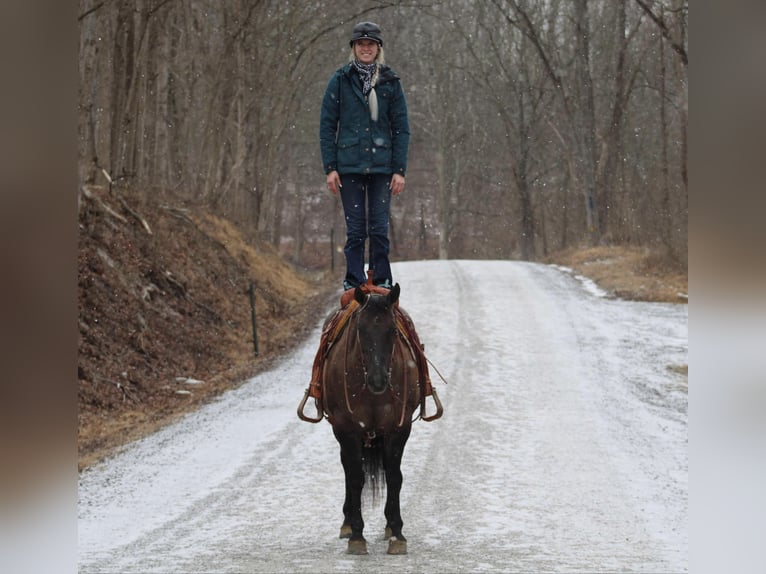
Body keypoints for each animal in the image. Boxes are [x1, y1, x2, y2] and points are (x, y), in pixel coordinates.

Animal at [320, 286, 424, 556]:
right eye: (360, 330)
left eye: (393, 330)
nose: (378, 380)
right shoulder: (347, 429)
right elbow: (356, 477)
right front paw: (357, 535)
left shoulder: (399, 428)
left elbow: (394, 476)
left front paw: (397, 533)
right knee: (348, 470)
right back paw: (347, 524)